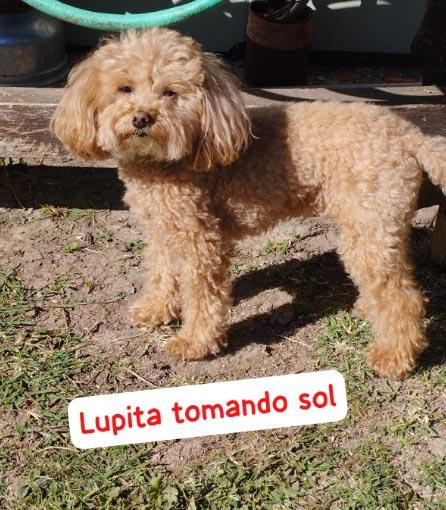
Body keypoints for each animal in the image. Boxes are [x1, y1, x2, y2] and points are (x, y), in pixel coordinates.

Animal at [52, 28, 446, 379]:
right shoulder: (163, 230)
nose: (141, 118)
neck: (166, 162)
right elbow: (161, 273)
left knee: (402, 296)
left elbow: (202, 294)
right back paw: (369, 308)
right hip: (381, 223)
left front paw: (194, 342)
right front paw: (155, 310)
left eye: (170, 93)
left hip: (368, 223)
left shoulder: (201, 238)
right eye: (125, 88)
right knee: (397, 278)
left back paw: (394, 357)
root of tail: (410, 136)